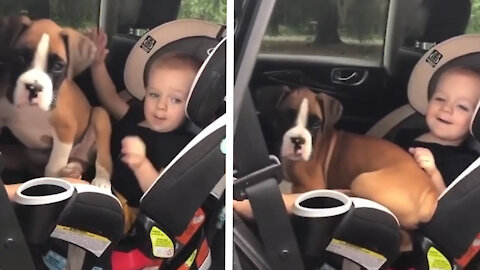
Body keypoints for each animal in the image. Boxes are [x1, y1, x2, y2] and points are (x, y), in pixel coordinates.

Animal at [0, 16, 111, 189]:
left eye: (58, 66)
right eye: (21, 58)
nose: (34, 87)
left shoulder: (65, 131)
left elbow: (53, 168)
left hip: (100, 115)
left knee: (102, 156)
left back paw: (100, 179)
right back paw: (73, 169)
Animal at [280, 87, 440, 230]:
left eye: (316, 124)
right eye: (286, 117)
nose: (297, 140)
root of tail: (431, 193)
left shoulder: (311, 185)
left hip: (361, 180)